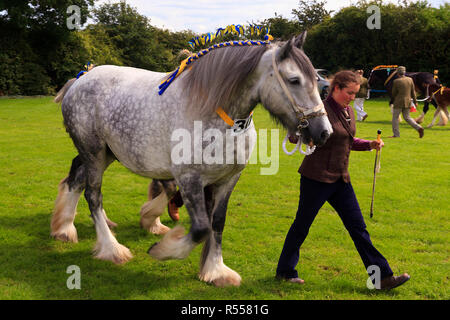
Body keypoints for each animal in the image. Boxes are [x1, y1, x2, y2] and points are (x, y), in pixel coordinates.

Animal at [51, 33, 330, 288]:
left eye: (318, 81)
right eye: (294, 80)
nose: (323, 132)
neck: (214, 115)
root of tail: (80, 79)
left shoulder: (227, 180)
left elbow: (217, 223)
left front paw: (215, 270)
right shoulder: (190, 179)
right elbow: (200, 228)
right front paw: (163, 250)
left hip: (106, 154)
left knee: (76, 180)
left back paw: (65, 229)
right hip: (94, 153)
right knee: (92, 194)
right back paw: (111, 248)